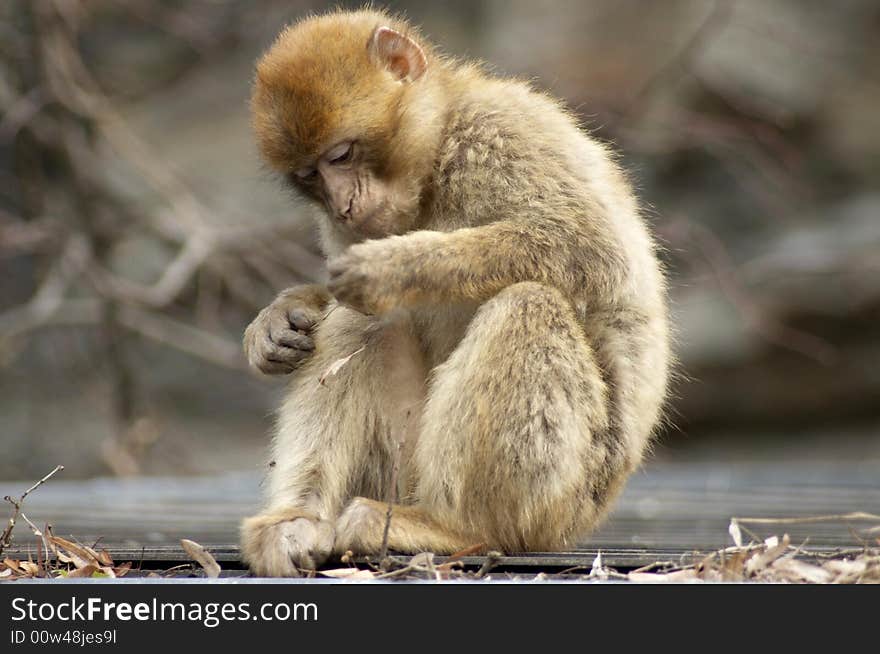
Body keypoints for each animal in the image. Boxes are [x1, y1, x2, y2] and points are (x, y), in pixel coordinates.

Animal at [237, 7, 672, 576]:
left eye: (343, 154)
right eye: (310, 175)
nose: (344, 206)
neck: (436, 155)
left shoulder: (499, 132)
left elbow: (588, 248)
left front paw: (393, 268)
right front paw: (281, 318)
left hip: (565, 499)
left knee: (528, 304)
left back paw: (461, 527)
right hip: (400, 469)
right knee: (366, 322)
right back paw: (299, 520)